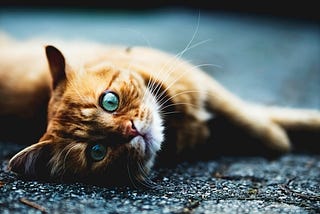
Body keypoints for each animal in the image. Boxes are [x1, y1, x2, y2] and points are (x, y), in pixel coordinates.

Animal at [0, 34, 320, 186]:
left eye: (110, 101)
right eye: (97, 151)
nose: (131, 130)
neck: (179, 126)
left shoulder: (204, 86)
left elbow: (249, 116)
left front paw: (276, 138)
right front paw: (280, 139)